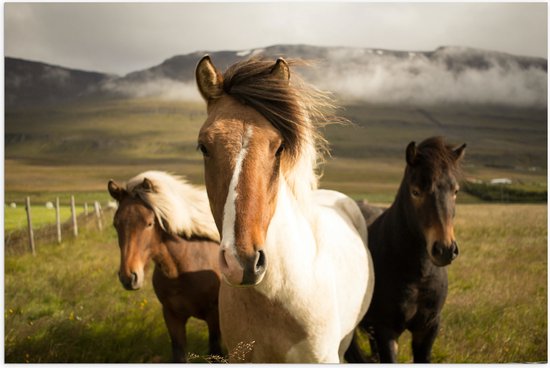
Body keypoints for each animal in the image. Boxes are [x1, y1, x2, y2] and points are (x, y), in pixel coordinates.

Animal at [108, 172, 224, 362]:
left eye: (149, 223)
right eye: (116, 223)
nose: (128, 277)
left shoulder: (214, 317)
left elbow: (216, 353)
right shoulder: (172, 317)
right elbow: (179, 354)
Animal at [350, 136, 466, 362]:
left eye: (455, 191)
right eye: (416, 191)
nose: (445, 249)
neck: (418, 275)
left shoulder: (428, 328)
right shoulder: (386, 330)